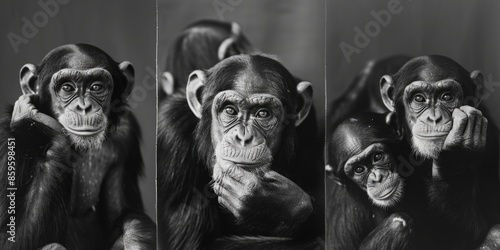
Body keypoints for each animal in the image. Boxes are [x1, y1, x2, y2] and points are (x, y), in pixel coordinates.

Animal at [0, 44, 155, 249]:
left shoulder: (126, 136)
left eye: (97, 87)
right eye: (67, 87)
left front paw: (135, 238)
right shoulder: (5, 141)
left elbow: (125, 213)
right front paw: (33, 117)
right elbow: (8, 238)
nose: (84, 107)